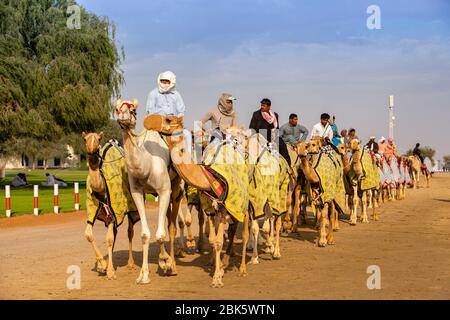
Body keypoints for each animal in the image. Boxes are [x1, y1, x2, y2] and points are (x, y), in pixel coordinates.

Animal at [81, 131, 135, 278]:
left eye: (98, 139)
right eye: (85, 139)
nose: (92, 150)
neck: (100, 188)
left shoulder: (114, 213)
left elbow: (109, 239)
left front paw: (110, 270)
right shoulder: (96, 212)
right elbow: (89, 235)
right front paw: (102, 265)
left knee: (130, 231)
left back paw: (131, 263)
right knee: (116, 232)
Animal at [115, 99, 184, 284]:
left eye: (134, 110)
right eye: (116, 108)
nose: (123, 115)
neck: (146, 164)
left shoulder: (164, 190)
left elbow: (161, 234)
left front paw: (166, 263)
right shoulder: (138, 193)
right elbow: (145, 234)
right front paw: (144, 275)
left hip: (176, 187)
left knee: (172, 226)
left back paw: (173, 265)